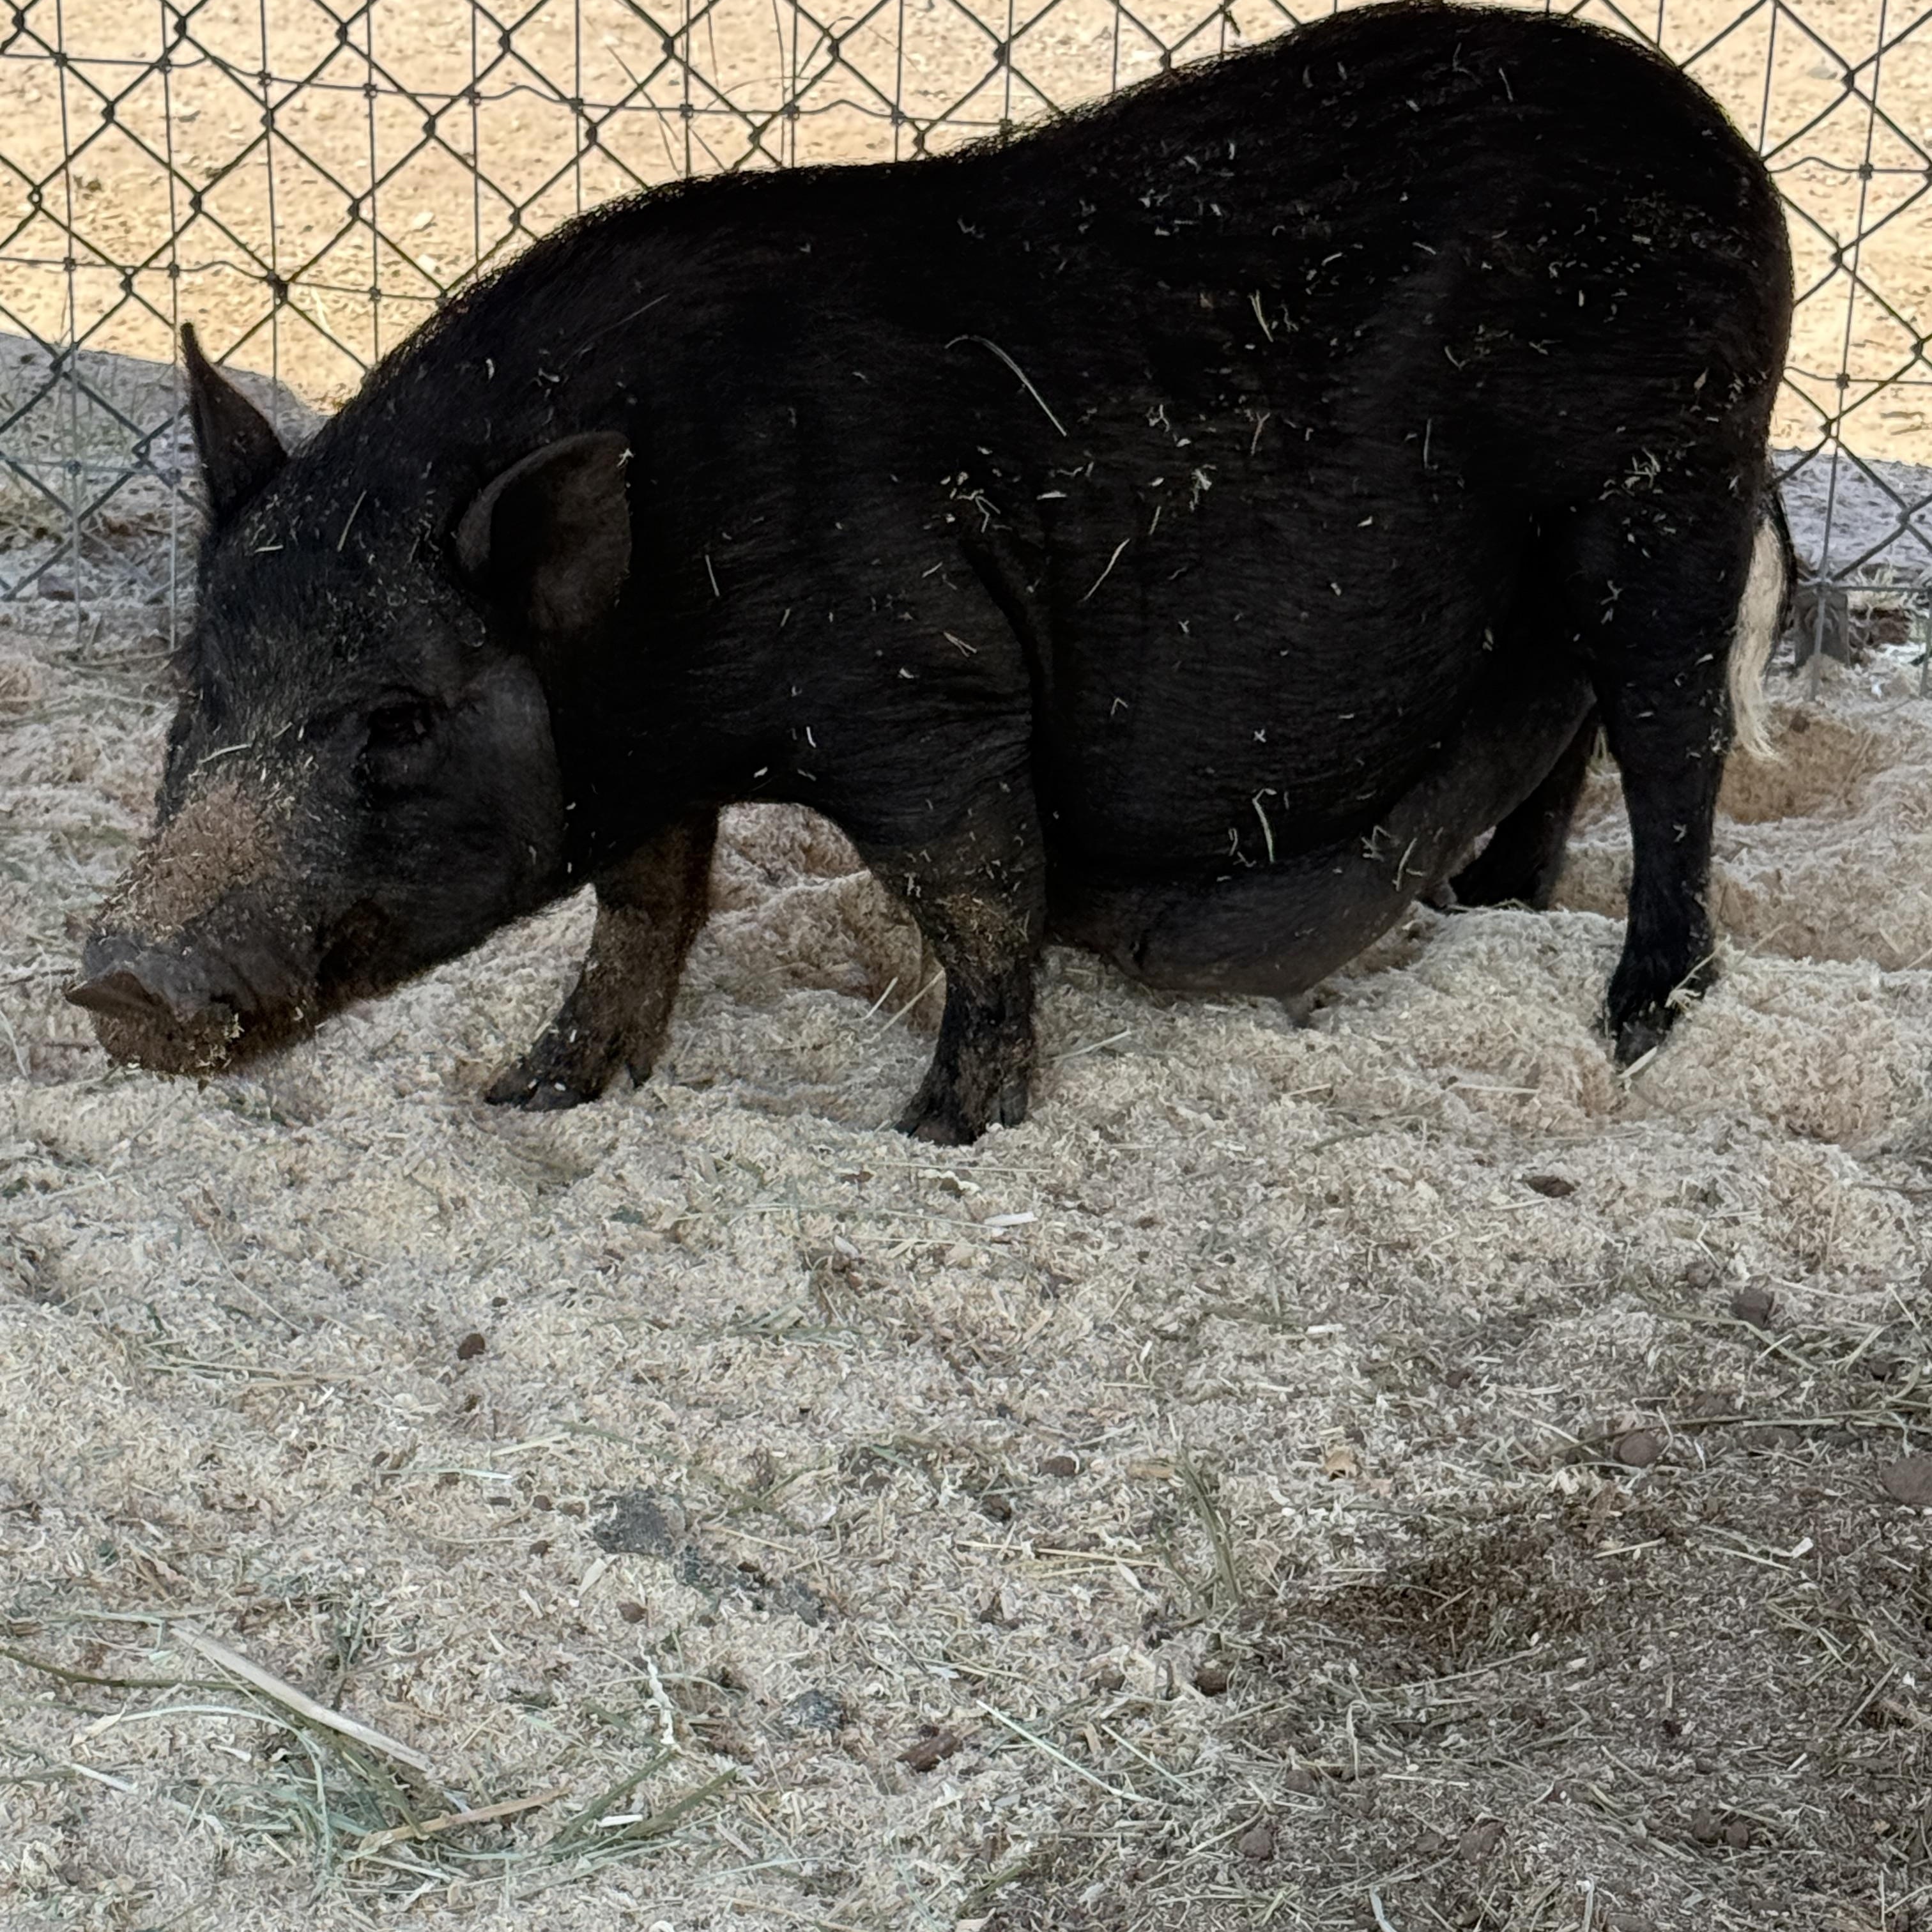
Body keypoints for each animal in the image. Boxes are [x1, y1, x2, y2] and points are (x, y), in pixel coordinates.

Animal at [71, 0, 1793, 1143]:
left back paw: (1637, 1018)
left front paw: (941, 1129)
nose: (123, 983)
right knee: (1569, 732)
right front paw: (532, 1097)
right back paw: (1488, 909)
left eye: (404, 720)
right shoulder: (657, 756)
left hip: (1668, 497)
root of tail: (1721, 141)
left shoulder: (928, 692)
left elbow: (974, 898)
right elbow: (647, 903)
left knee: (1674, 744)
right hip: (1566, 564)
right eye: (197, 690)